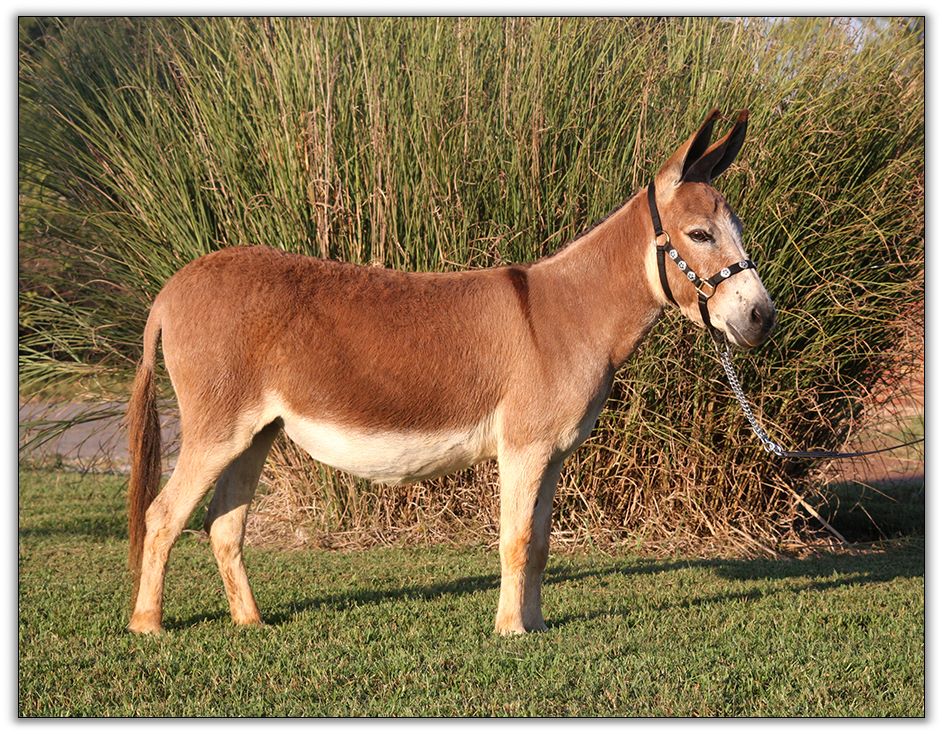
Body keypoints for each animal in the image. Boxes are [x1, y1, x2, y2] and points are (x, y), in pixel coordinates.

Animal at [126, 109, 776, 635]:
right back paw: (147, 626)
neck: (571, 312)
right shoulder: (524, 447)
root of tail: (173, 287)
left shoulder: (552, 454)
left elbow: (540, 545)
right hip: (217, 427)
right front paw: (510, 632)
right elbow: (515, 541)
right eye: (699, 234)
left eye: (739, 231)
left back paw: (250, 621)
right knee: (162, 516)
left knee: (222, 524)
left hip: (256, 432)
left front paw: (537, 625)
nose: (762, 317)